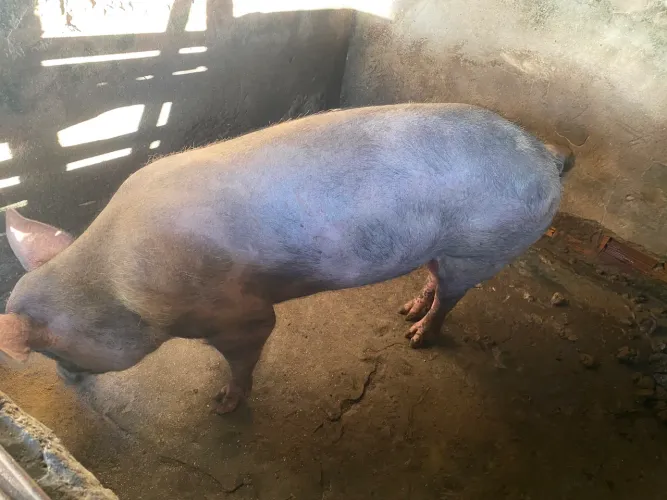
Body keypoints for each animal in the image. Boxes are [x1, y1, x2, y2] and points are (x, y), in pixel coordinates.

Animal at [0, 103, 573, 413]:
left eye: (50, 349)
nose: (66, 381)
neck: (120, 287)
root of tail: (546, 155)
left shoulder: (241, 314)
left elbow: (246, 353)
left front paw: (222, 406)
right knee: (435, 281)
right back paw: (406, 311)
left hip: (485, 245)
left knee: (451, 299)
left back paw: (416, 335)